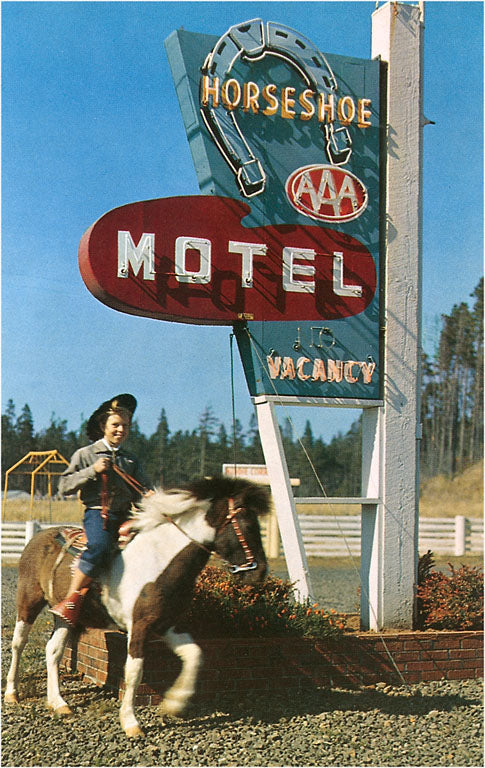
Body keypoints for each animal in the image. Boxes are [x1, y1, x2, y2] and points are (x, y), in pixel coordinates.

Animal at [4, 476, 270, 738]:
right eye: (248, 525)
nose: (260, 573)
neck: (159, 559)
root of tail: (39, 537)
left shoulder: (167, 624)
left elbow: (194, 655)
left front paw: (174, 703)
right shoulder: (139, 626)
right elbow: (134, 671)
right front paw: (130, 722)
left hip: (66, 616)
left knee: (54, 650)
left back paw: (58, 702)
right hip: (28, 601)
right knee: (18, 643)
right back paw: (12, 693)